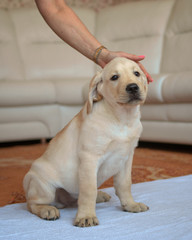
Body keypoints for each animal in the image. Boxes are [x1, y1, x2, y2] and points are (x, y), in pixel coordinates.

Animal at [22, 57, 148, 228]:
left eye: (137, 73)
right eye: (114, 77)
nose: (133, 87)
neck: (122, 119)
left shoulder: (126, 157)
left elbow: (125, 184)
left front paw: (130, 205)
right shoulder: (90, 158)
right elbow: (89, 190)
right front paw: (86, 216)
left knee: (73, 200)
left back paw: (99, 196)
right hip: (43, 186)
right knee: (31, 204)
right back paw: (47, 210)